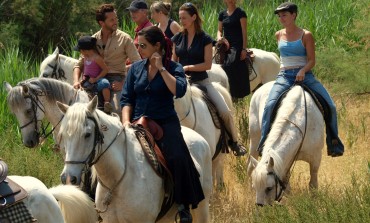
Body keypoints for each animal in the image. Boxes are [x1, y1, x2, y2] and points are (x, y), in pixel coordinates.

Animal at [54, 96, 211, 222]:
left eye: (87, 134)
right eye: (63, 135)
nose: (68, 178)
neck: (116, 182)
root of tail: (202, 139)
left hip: (202, 207)